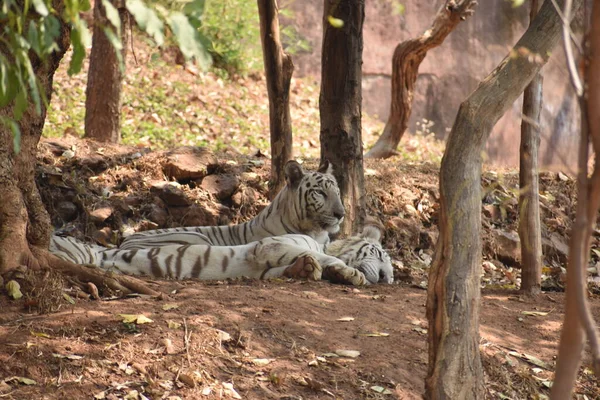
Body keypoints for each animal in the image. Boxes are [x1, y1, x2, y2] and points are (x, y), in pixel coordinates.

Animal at [118, 160, 342, 250]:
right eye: (320, 193)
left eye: (337, 192)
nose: (341, 214)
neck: (316, 231)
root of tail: (123, 242)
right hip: (196, 237)